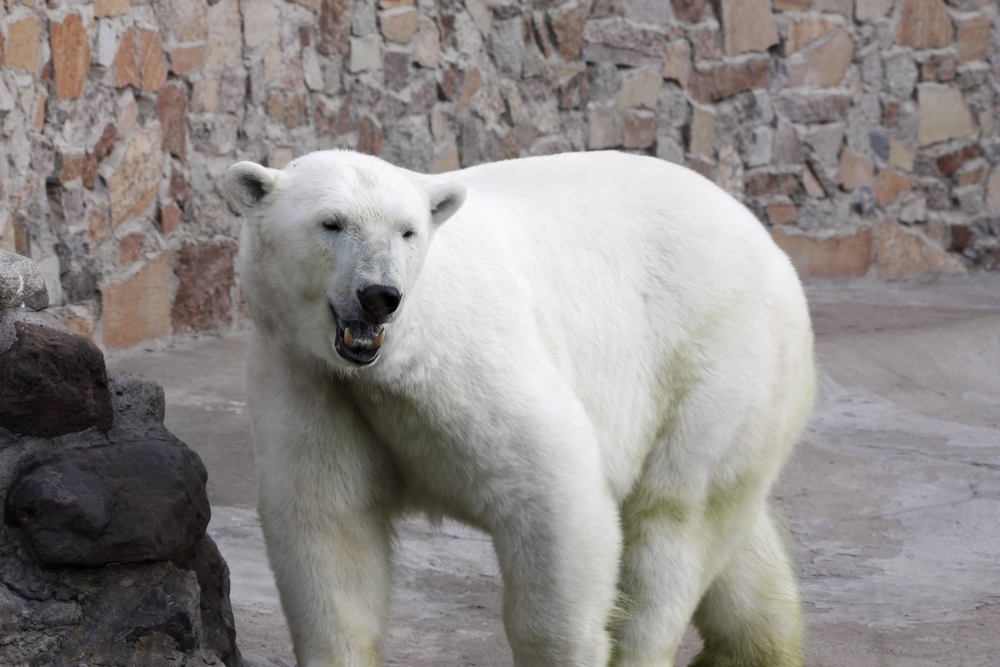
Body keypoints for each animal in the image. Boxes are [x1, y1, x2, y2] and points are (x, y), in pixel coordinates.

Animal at [225, 151, 812, 667]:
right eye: (332, 223)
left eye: (407, 231)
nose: (379, 295)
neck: (392, 362)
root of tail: (768, 245)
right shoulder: (312, 380)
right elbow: (329, 523)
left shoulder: (474, 364)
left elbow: (554, 497)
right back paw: (753, 650)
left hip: (715, 359)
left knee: (673, 524)